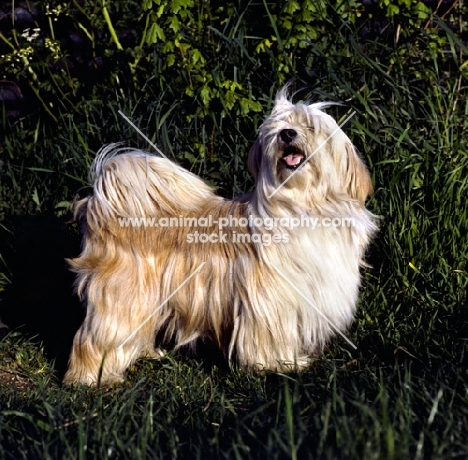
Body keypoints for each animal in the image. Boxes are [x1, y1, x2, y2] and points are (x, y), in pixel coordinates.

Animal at [63, 89, 376, 384]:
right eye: (278, 127)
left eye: (310, 126)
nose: (287, 133)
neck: (302, 205)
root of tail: (99, 203)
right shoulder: (270, 301)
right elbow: (270, 337)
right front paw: (280, 365)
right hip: (123, 297)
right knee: (96, 337)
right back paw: (92, 378)